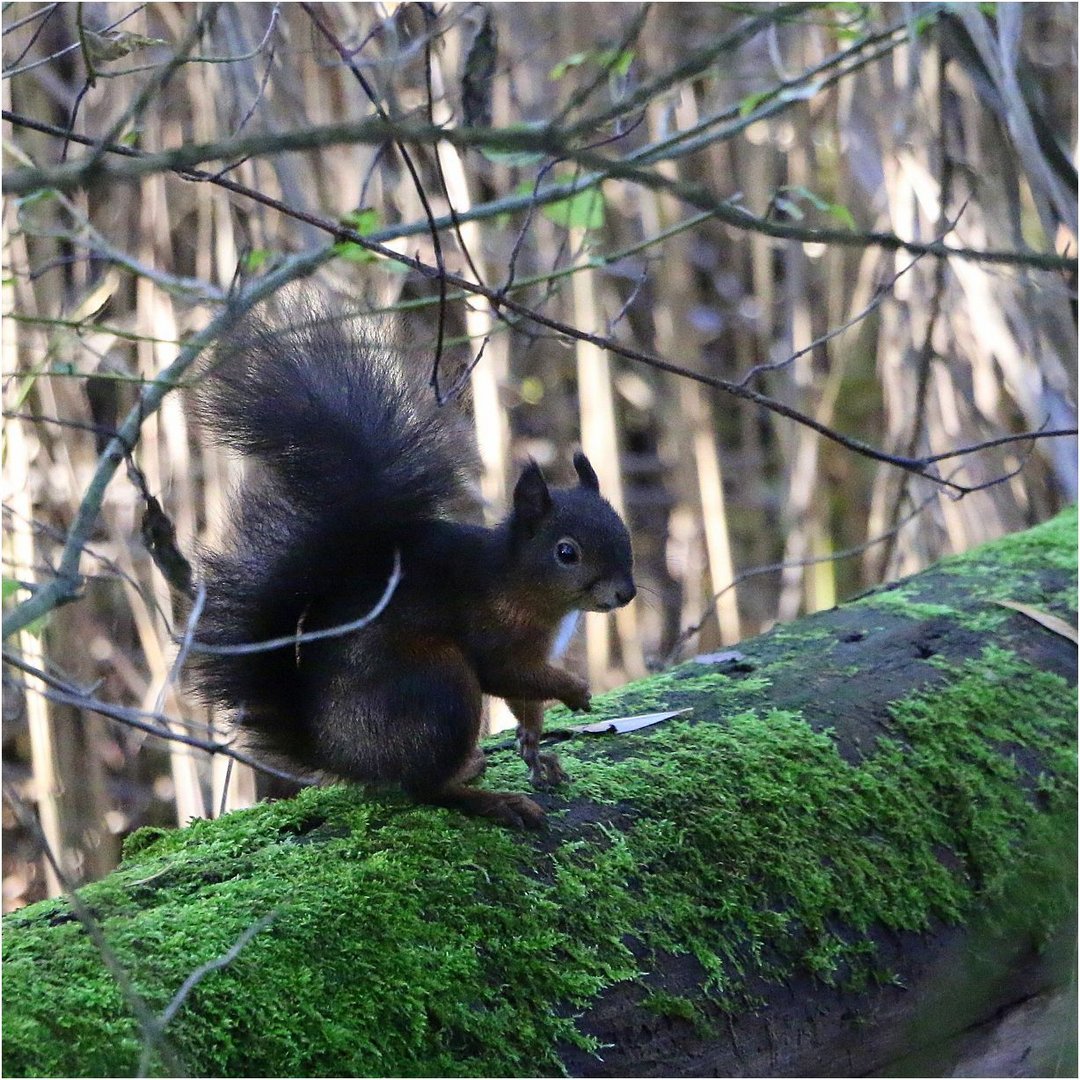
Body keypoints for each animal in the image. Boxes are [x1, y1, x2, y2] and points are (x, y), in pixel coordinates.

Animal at [190, 300, 635, 829]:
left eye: (623, 531)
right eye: (567, 552)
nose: (626, 593)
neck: (522, 583)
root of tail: (341, 756)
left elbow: (524, 701)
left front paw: (535, 748)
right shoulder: (496, 635)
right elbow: (509, 675)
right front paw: (575, 690)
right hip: (438, 686)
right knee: (425, 788)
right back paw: (493, 800)